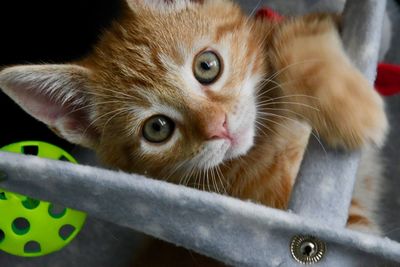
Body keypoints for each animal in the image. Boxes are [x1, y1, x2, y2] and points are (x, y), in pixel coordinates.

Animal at [0, 0, 388, 264]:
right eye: (157, 128)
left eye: (207, 65)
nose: (220, 127)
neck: (265, 136)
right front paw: (356, 112)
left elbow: (298, 34)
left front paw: (349, 106)